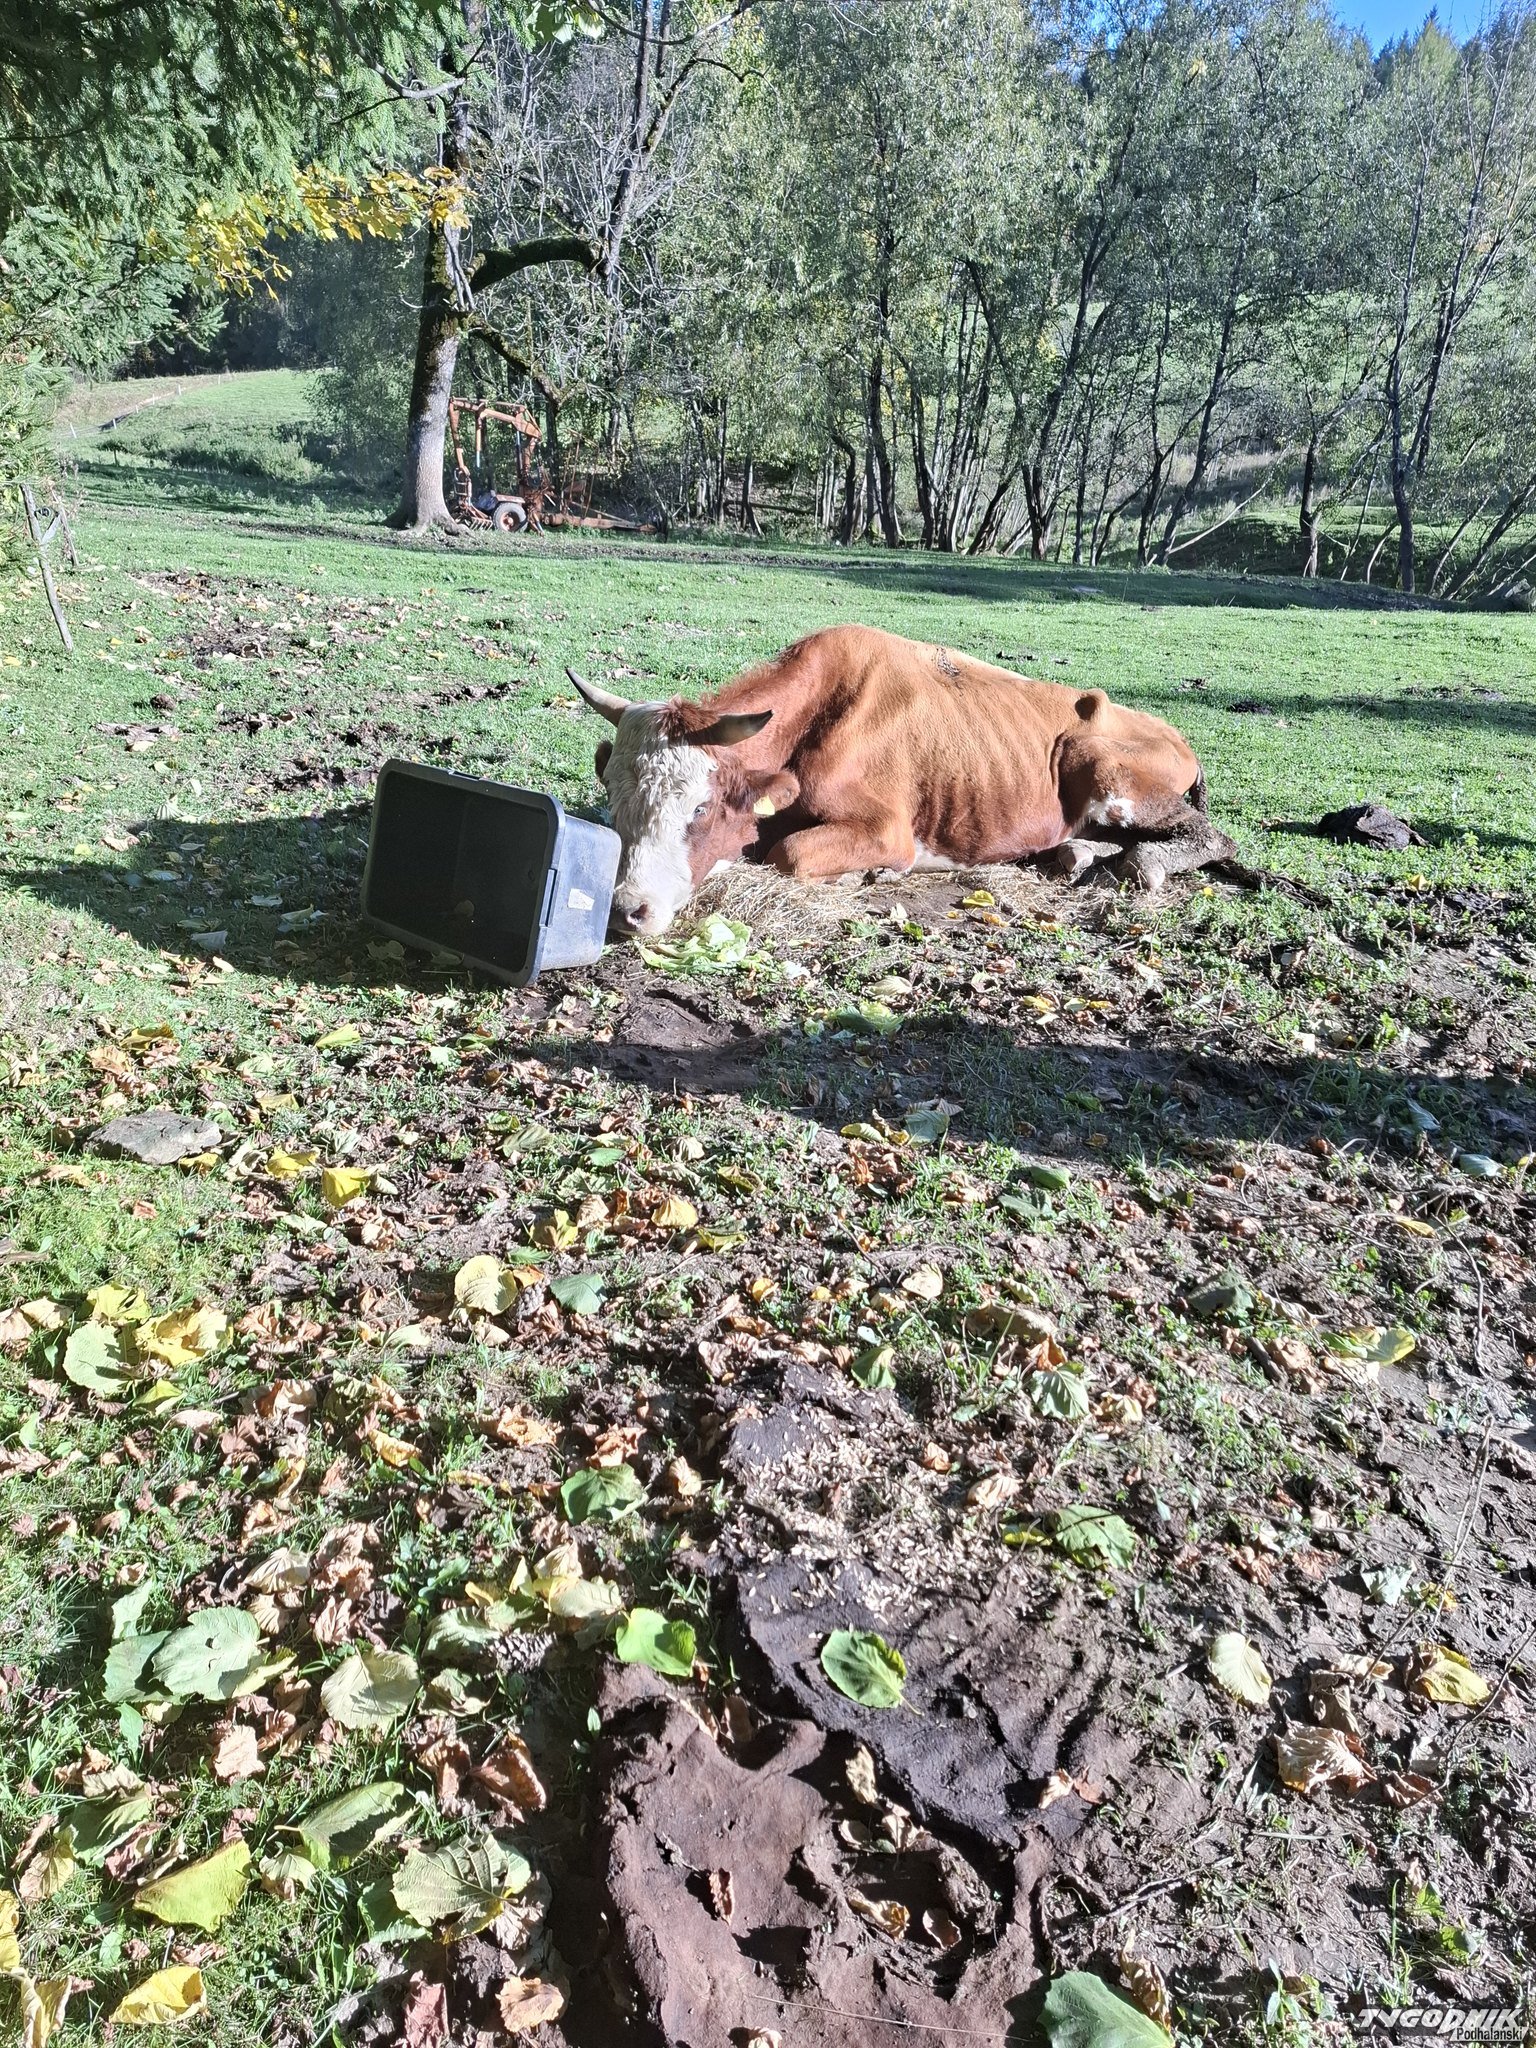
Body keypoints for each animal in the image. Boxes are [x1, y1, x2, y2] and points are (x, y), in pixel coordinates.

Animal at [568, 624, 1229, 936]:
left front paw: (868, 873)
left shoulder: (890, 829)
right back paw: (1078, 855)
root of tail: (1172, 732)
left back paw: (1142, 865)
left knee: (1212, 836)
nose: (627, 909)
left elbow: (789, 853)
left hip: (1100, 764)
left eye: (699, 810)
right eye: (614, 803)